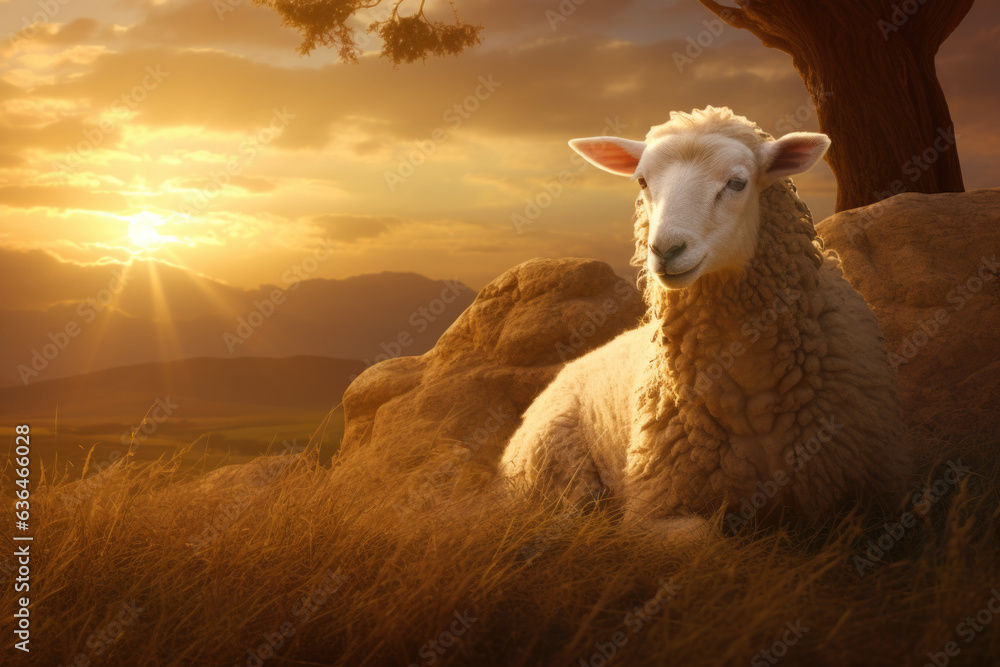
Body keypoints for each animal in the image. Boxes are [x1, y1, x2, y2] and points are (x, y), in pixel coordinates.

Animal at [498, 106, 913, 542]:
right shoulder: (652, 509)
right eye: (643, 181)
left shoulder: (880, 494)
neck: (754, 393)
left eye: (737, 182)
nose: (666, 250)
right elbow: (708, 539)